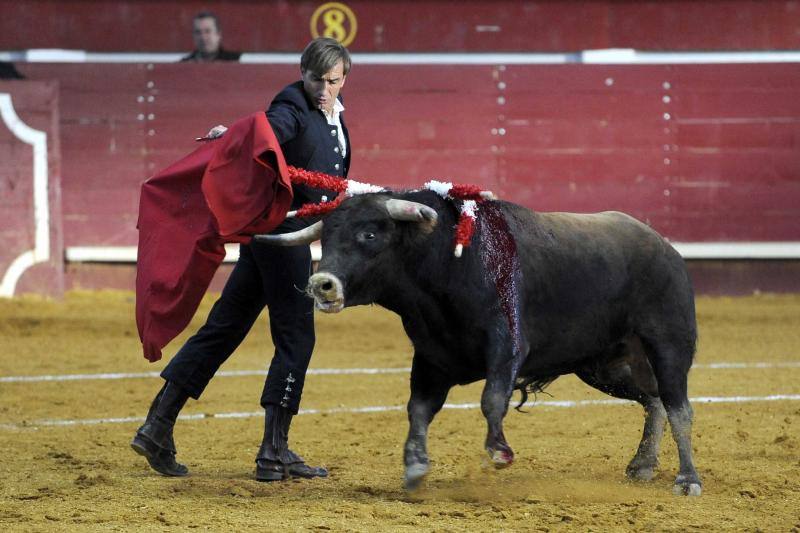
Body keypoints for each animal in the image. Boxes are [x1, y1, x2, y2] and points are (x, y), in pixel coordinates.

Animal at [256, 190, 700, 494]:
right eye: (327, 236)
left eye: (369, 233)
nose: (321, 283)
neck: (448, 264)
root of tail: (665, 248)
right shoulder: (431, 358)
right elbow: (419, 409)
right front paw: (415, 468)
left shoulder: (507, 348)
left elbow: (492, 399)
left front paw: (499, 452)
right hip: (604, 365)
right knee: (654, 401)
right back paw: (642, 465)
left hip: (668, 345)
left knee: (679, 408)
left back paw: (687, 479)